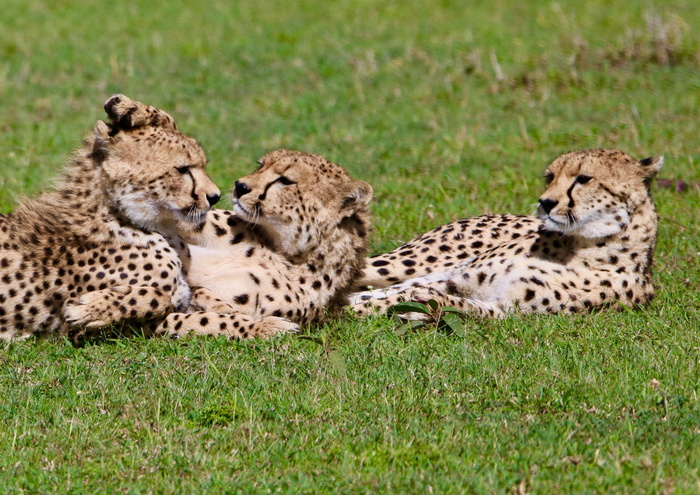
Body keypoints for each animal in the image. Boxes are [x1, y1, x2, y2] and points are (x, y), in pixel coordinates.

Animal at [352, 148, 664, 318]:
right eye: (550, 177)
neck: (587, 246)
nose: (545, 203)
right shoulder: (458, 277)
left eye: (584, 179)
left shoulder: (504, 308)